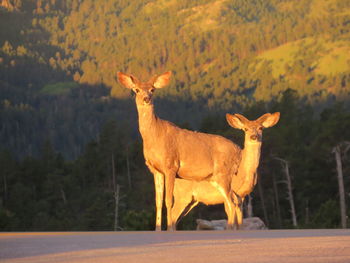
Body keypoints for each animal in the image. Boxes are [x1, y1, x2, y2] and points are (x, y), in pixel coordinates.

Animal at [117, 71, 241, 231]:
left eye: (152, 90)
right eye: (136, 90)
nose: (146, 99)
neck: (155, 136)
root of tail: (238, 151)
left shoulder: (171, 165)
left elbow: (168, 201)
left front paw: (169, 229)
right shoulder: (156, 170)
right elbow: (158, 202)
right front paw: (157, 229)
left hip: (223, 174)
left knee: (232, 202)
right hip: (216, 178)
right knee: (235, 199)